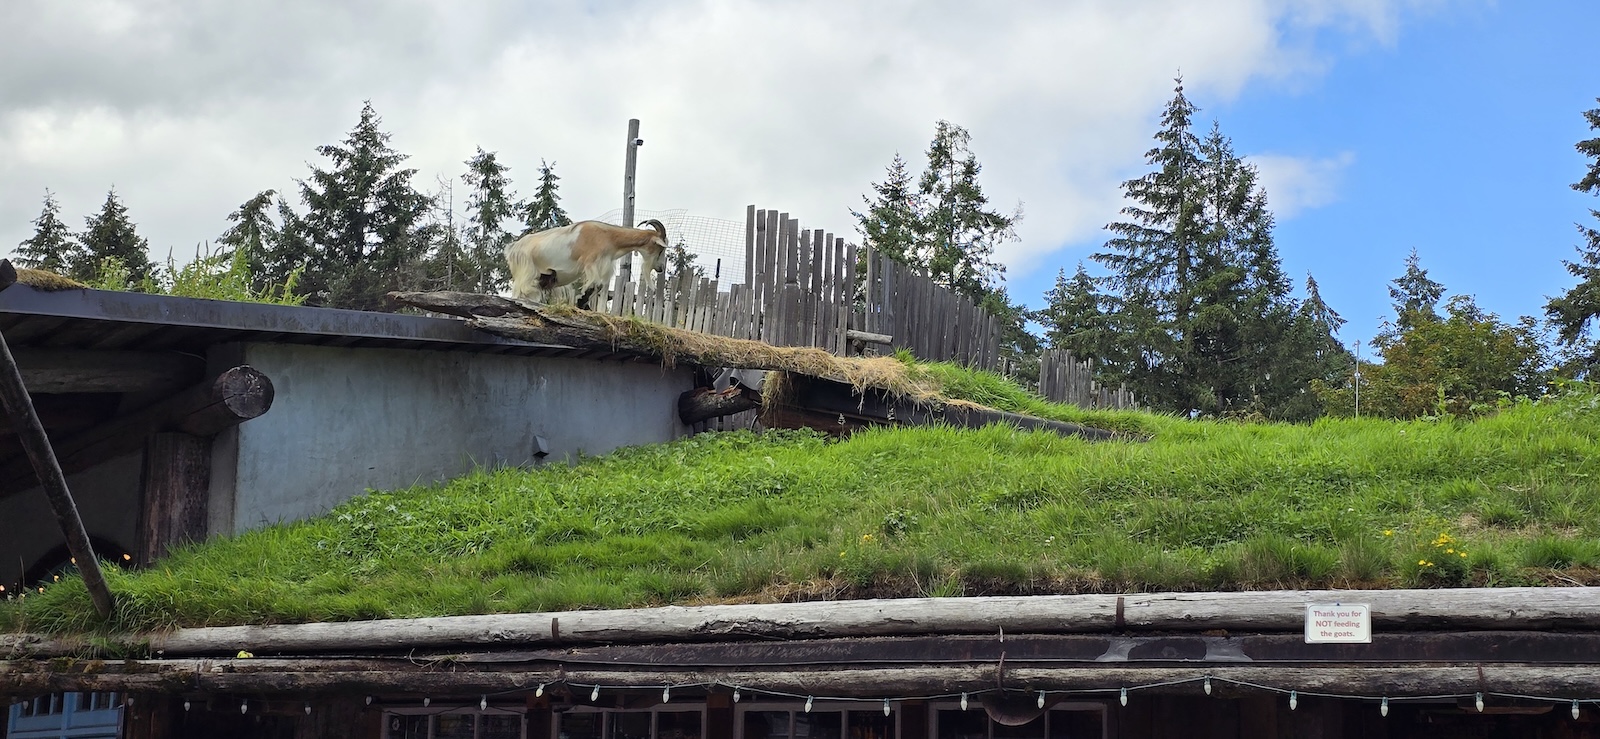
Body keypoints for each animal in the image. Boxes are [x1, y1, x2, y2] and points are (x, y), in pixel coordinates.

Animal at [504, 219, 668, 310]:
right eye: (660, 248)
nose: (660, 268)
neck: (609, 236)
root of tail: (513, 249)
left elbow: (598, 286)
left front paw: (584, 304)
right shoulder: (591, 262)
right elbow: (595, 284)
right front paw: (581, 302)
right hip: (527, 272)